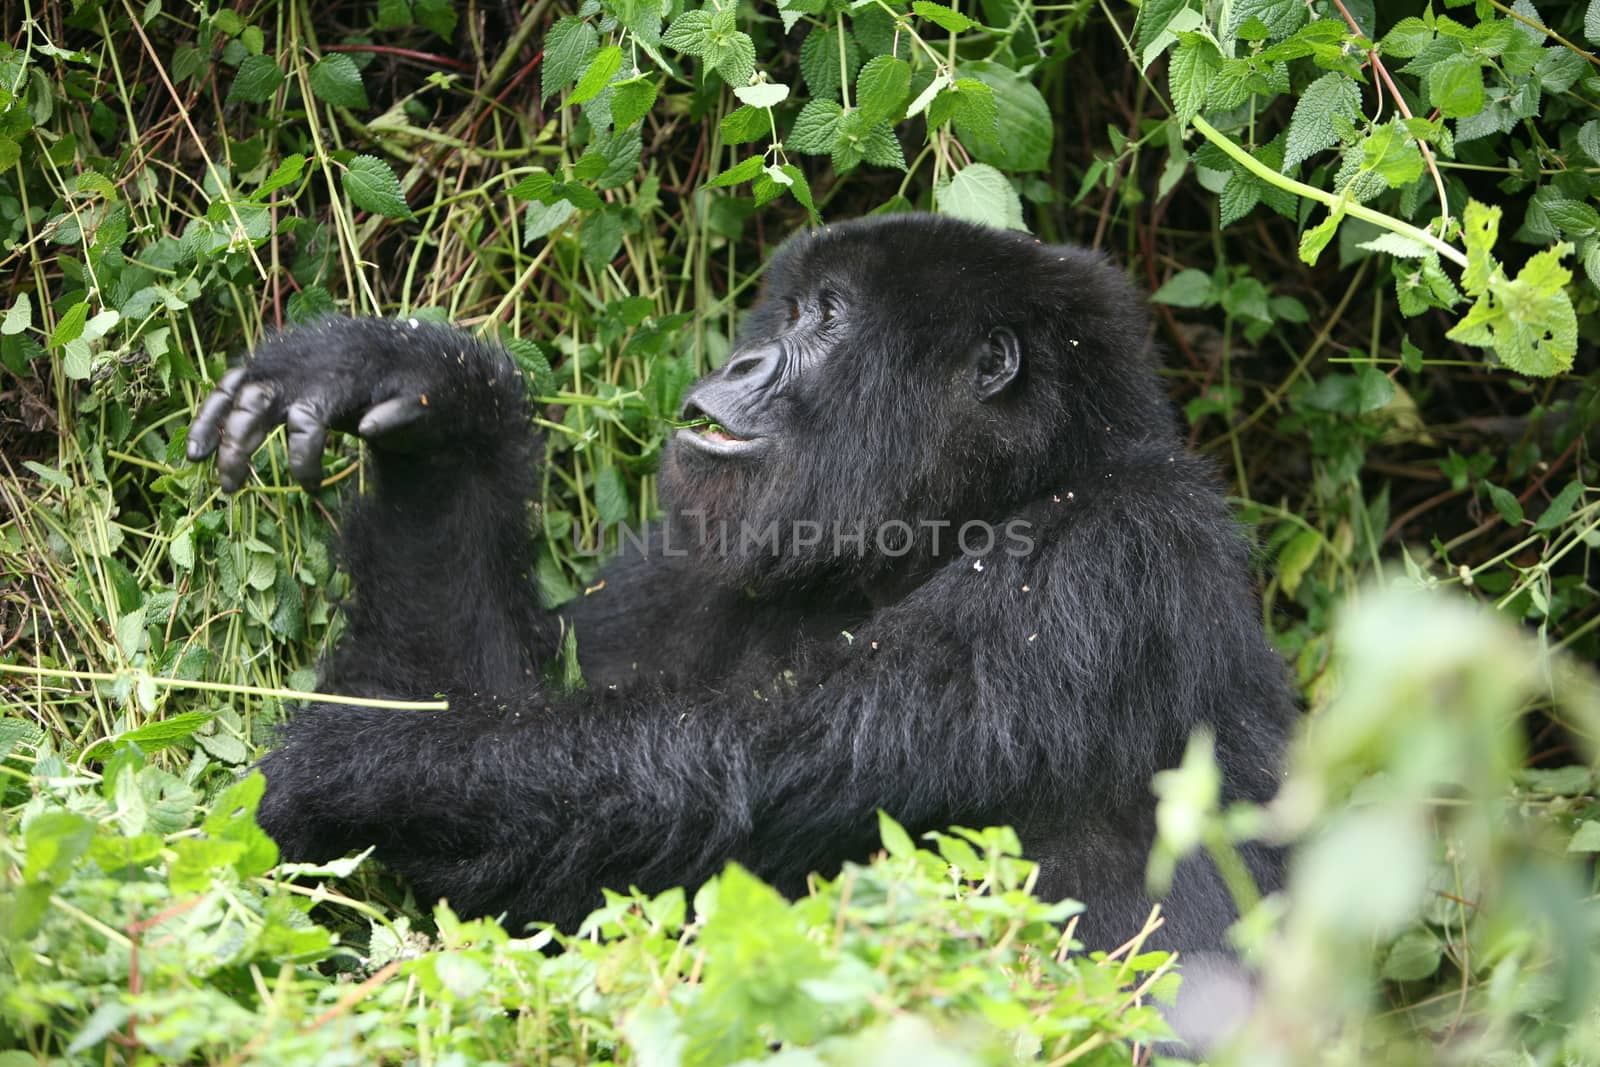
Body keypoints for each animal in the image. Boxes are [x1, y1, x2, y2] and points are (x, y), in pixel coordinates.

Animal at [187, 214, 1292, 959]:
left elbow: (743, 769)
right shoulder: (689, 559)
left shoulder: (1108, 557)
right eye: (792, 308)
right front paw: (426, 397)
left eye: (827, 318)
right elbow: (479, 686)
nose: (746, 355)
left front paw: (350, 765)